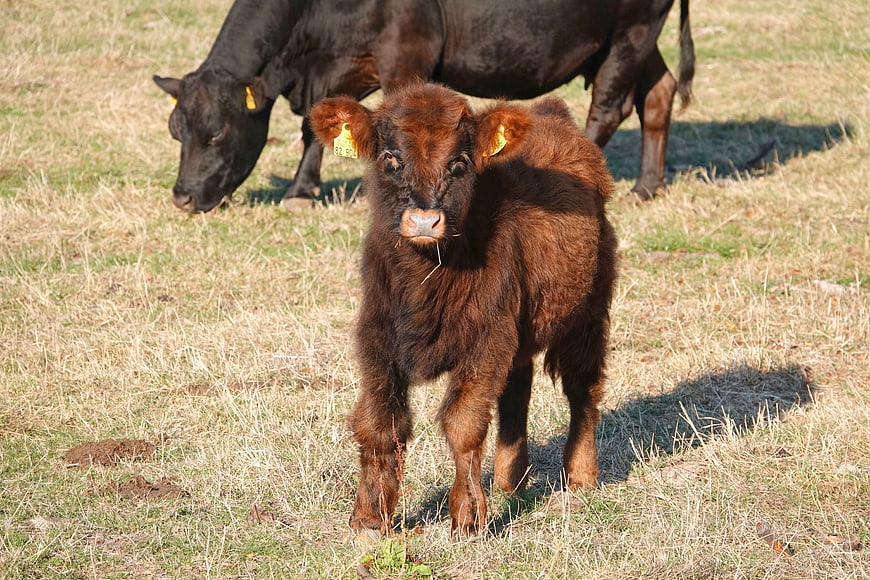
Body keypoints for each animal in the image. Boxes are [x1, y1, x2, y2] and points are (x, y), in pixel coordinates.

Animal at [154, 0, 693, 213]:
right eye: (176, 130)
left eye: (216, 132)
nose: (181, 197)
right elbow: (318, 128)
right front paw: (301, 190)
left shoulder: (406, 56)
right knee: (658, 94)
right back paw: (647, 186)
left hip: (632, 31)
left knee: (607, 108)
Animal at [308, 82, 617, 535]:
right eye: (390, 158)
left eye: (459, 162)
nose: (424, 221)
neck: (424, 279)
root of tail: (551, 112)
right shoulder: (377, 336)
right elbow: (379, 421)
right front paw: (370, 517)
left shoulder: (486, 339)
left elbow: (463, 423)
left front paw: (469, 517)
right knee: (517, 391)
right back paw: (510, 481)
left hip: (587, 312)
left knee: (583, 389)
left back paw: (579, 477)